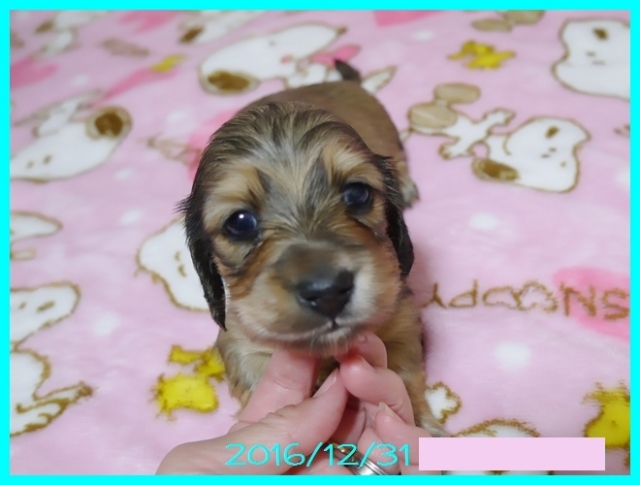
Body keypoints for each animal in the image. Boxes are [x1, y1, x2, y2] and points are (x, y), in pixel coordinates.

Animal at [181, 61, 444, 436]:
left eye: (357, 194)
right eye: (240, 222)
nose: (328, 292)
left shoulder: (402, 315)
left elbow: (402, 372)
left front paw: (417, 425)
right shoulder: (239, 340)